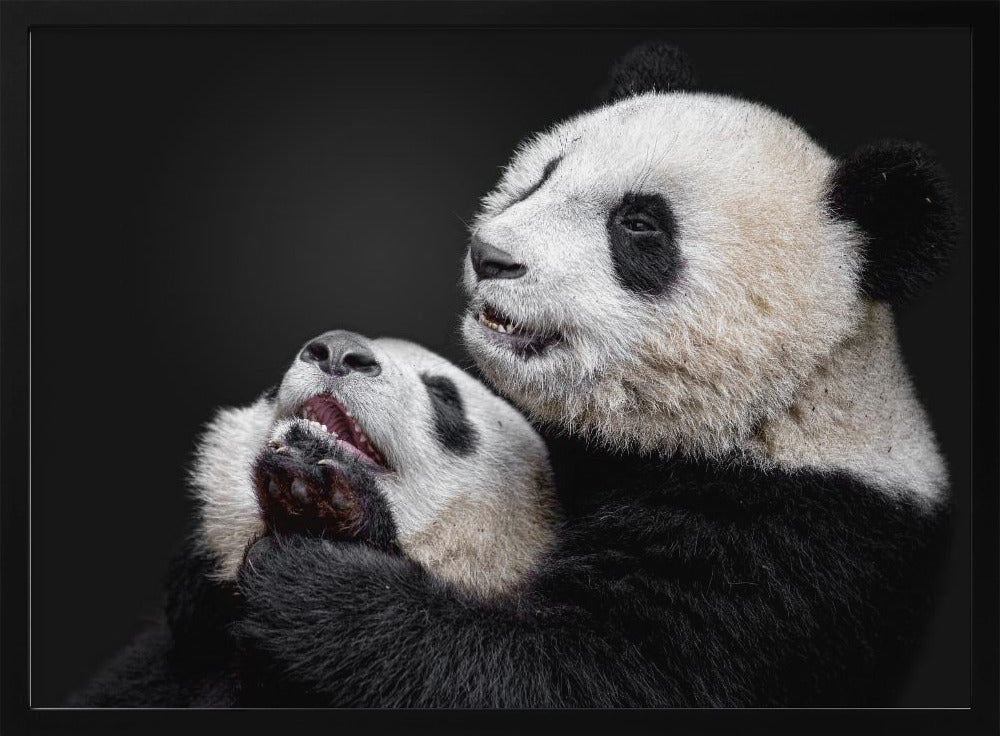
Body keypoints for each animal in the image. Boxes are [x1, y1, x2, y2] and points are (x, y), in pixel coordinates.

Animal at [233, 43, 957, 707]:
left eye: (639, 225)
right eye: (543, 175)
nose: (490, 256)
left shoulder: (786, 547)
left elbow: (577, 675)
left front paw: (317, 565)